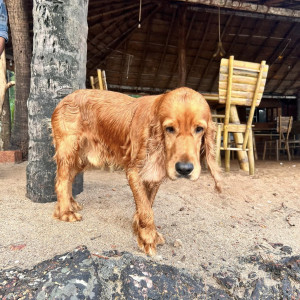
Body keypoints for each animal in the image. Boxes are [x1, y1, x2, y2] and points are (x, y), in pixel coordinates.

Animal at [51, 86, 220, 255]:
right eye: (169, 129)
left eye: (199, 129)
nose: (184, 169)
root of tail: (66, 98)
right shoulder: (134, 172)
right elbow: (146, 209)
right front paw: (148, 238)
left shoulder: (155, 175)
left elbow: (147, 203)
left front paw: (142, 229)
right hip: (69, 150)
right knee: (61, 181)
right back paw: (65, 212)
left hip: (81, 159)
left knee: (68, 179)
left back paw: (70, 204)